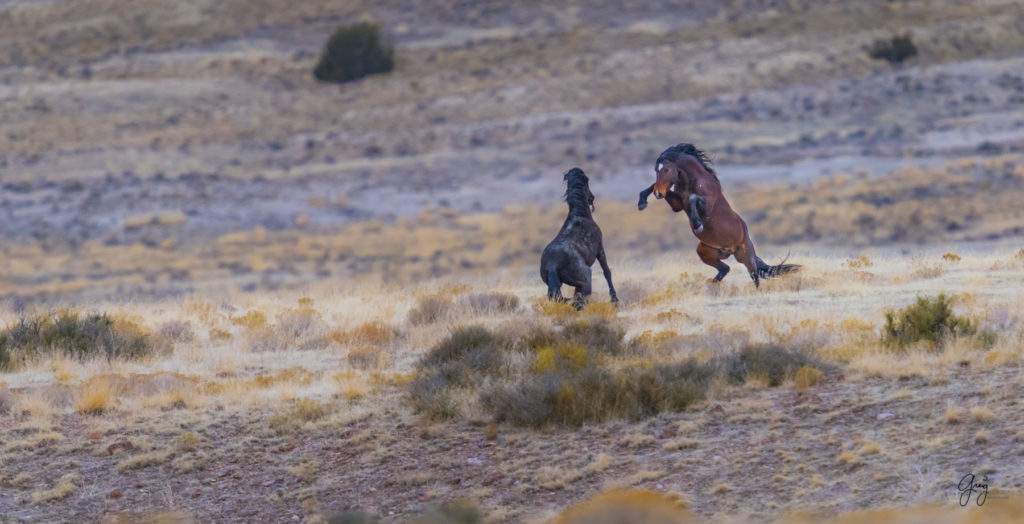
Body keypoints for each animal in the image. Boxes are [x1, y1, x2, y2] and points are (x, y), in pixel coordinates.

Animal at [540, 167, 618, 309]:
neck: (579, 215)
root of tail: (552, 264)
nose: (592, 197)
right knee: (580, 302)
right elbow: (607, 272)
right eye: (587, 182)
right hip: (586, 278)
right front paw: (615, 300)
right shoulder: (600, 250)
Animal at [634, 144, 794, 286]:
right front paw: (642, 202)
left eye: (666, 169)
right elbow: (657, 188)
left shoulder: (706, 205)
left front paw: (697, 224)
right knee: (726, 268)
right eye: (656, 170)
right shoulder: (677, 205)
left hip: (745, 256)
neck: (692, 182)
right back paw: (712, 284)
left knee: (754, 276)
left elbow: (693, 198)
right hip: (705, 252)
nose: (658, 193)